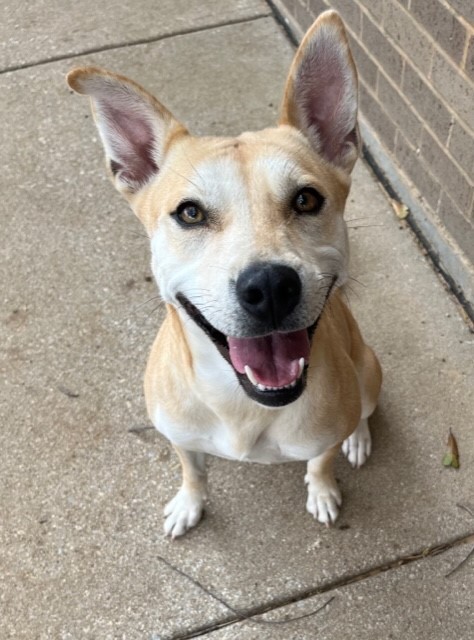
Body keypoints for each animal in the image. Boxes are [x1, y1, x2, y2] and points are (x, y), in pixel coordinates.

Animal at [66, 11, 382, 540]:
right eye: (190, 213)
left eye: (306, 199)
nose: (270, 287)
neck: (244, 403)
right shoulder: (180, 436)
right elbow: (192, 469)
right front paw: (189, 504)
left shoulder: (322, 438)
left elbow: (321, 462)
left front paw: (322, 489)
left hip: (370, 370)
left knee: (362, 410)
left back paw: (358, 437)